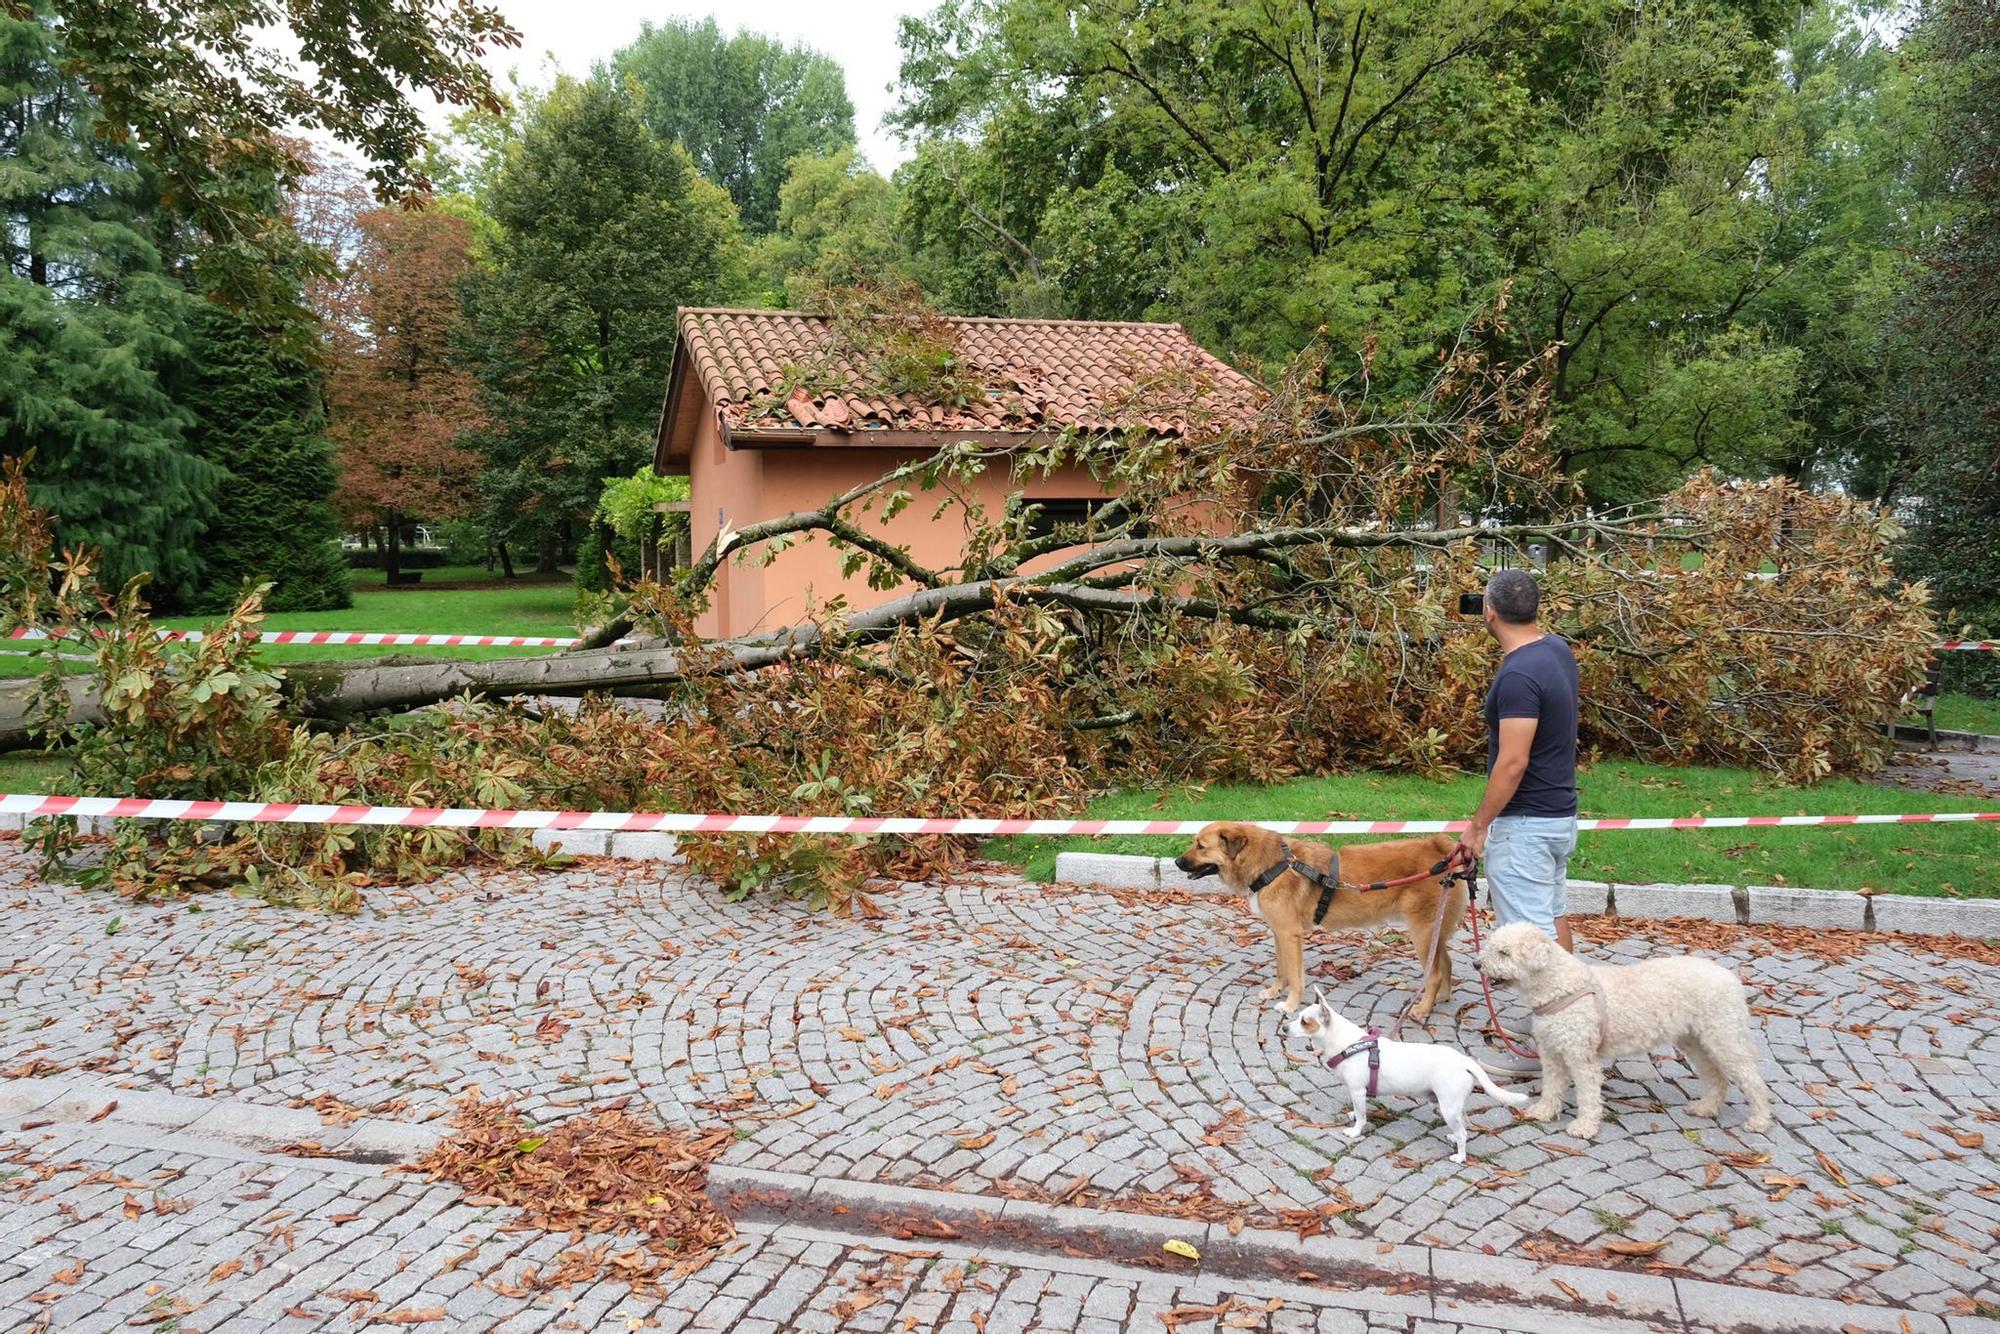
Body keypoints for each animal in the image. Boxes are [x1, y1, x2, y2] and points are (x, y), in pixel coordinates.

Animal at [1168, 820, 1472, 1016]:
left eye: (1200, 845)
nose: (1176, 862)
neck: (1271, 864)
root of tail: (1439, 847)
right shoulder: (1279, 933)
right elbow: (1282, 970)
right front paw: (1274, 991)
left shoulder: (1290, 934)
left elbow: (1295, 975)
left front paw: (1291, 1004)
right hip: (1435, 933)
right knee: (1446, 963)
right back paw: (1441, 999)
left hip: (1422, 933)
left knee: (1435, 973)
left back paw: (1422, 1009)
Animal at [1480, 924, 1776, 1144]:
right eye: (1492, 946)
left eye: (1504, 952)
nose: (1476, 964)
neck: (1560, 986)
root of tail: (1732, 979)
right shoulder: (1552, 1054)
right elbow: (1552, 1087)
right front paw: (1544, 1112)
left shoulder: (1582, 1057)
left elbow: (1588, 1095)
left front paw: (1585, 1126)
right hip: (1695, 1042)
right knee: (1717, 1078)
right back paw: (1706, 1108)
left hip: (1725, 1039)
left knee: (1753, 1081)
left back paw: (1759, 1120)